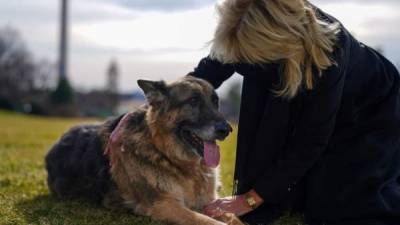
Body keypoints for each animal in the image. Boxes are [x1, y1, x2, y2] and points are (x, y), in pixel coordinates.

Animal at [44, 76, 244, 225]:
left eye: (215, 101)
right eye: (193, 101)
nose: (226, 129)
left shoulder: (210, 201)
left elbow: (234, 219)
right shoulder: (165, 205)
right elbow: (210, 221)